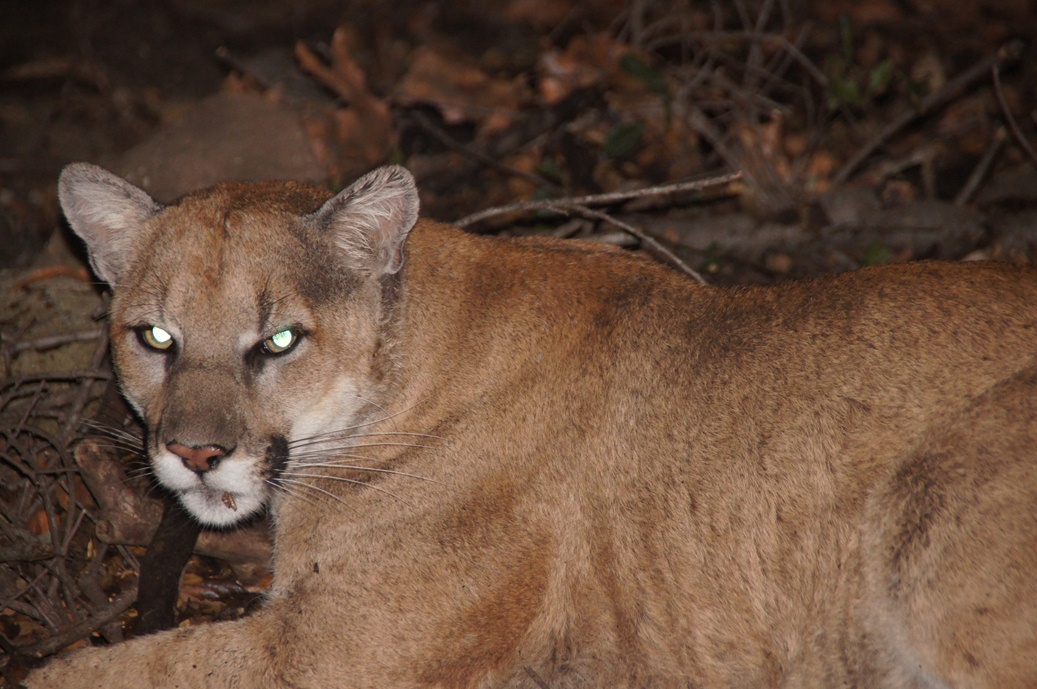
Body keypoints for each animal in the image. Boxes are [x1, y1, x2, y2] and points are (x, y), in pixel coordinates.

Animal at [26, 163, 1037, 684]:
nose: (195, 452)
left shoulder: (324, 649)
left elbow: (123, 671)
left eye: (278, 340)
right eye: (155, 336)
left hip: (931, 506)